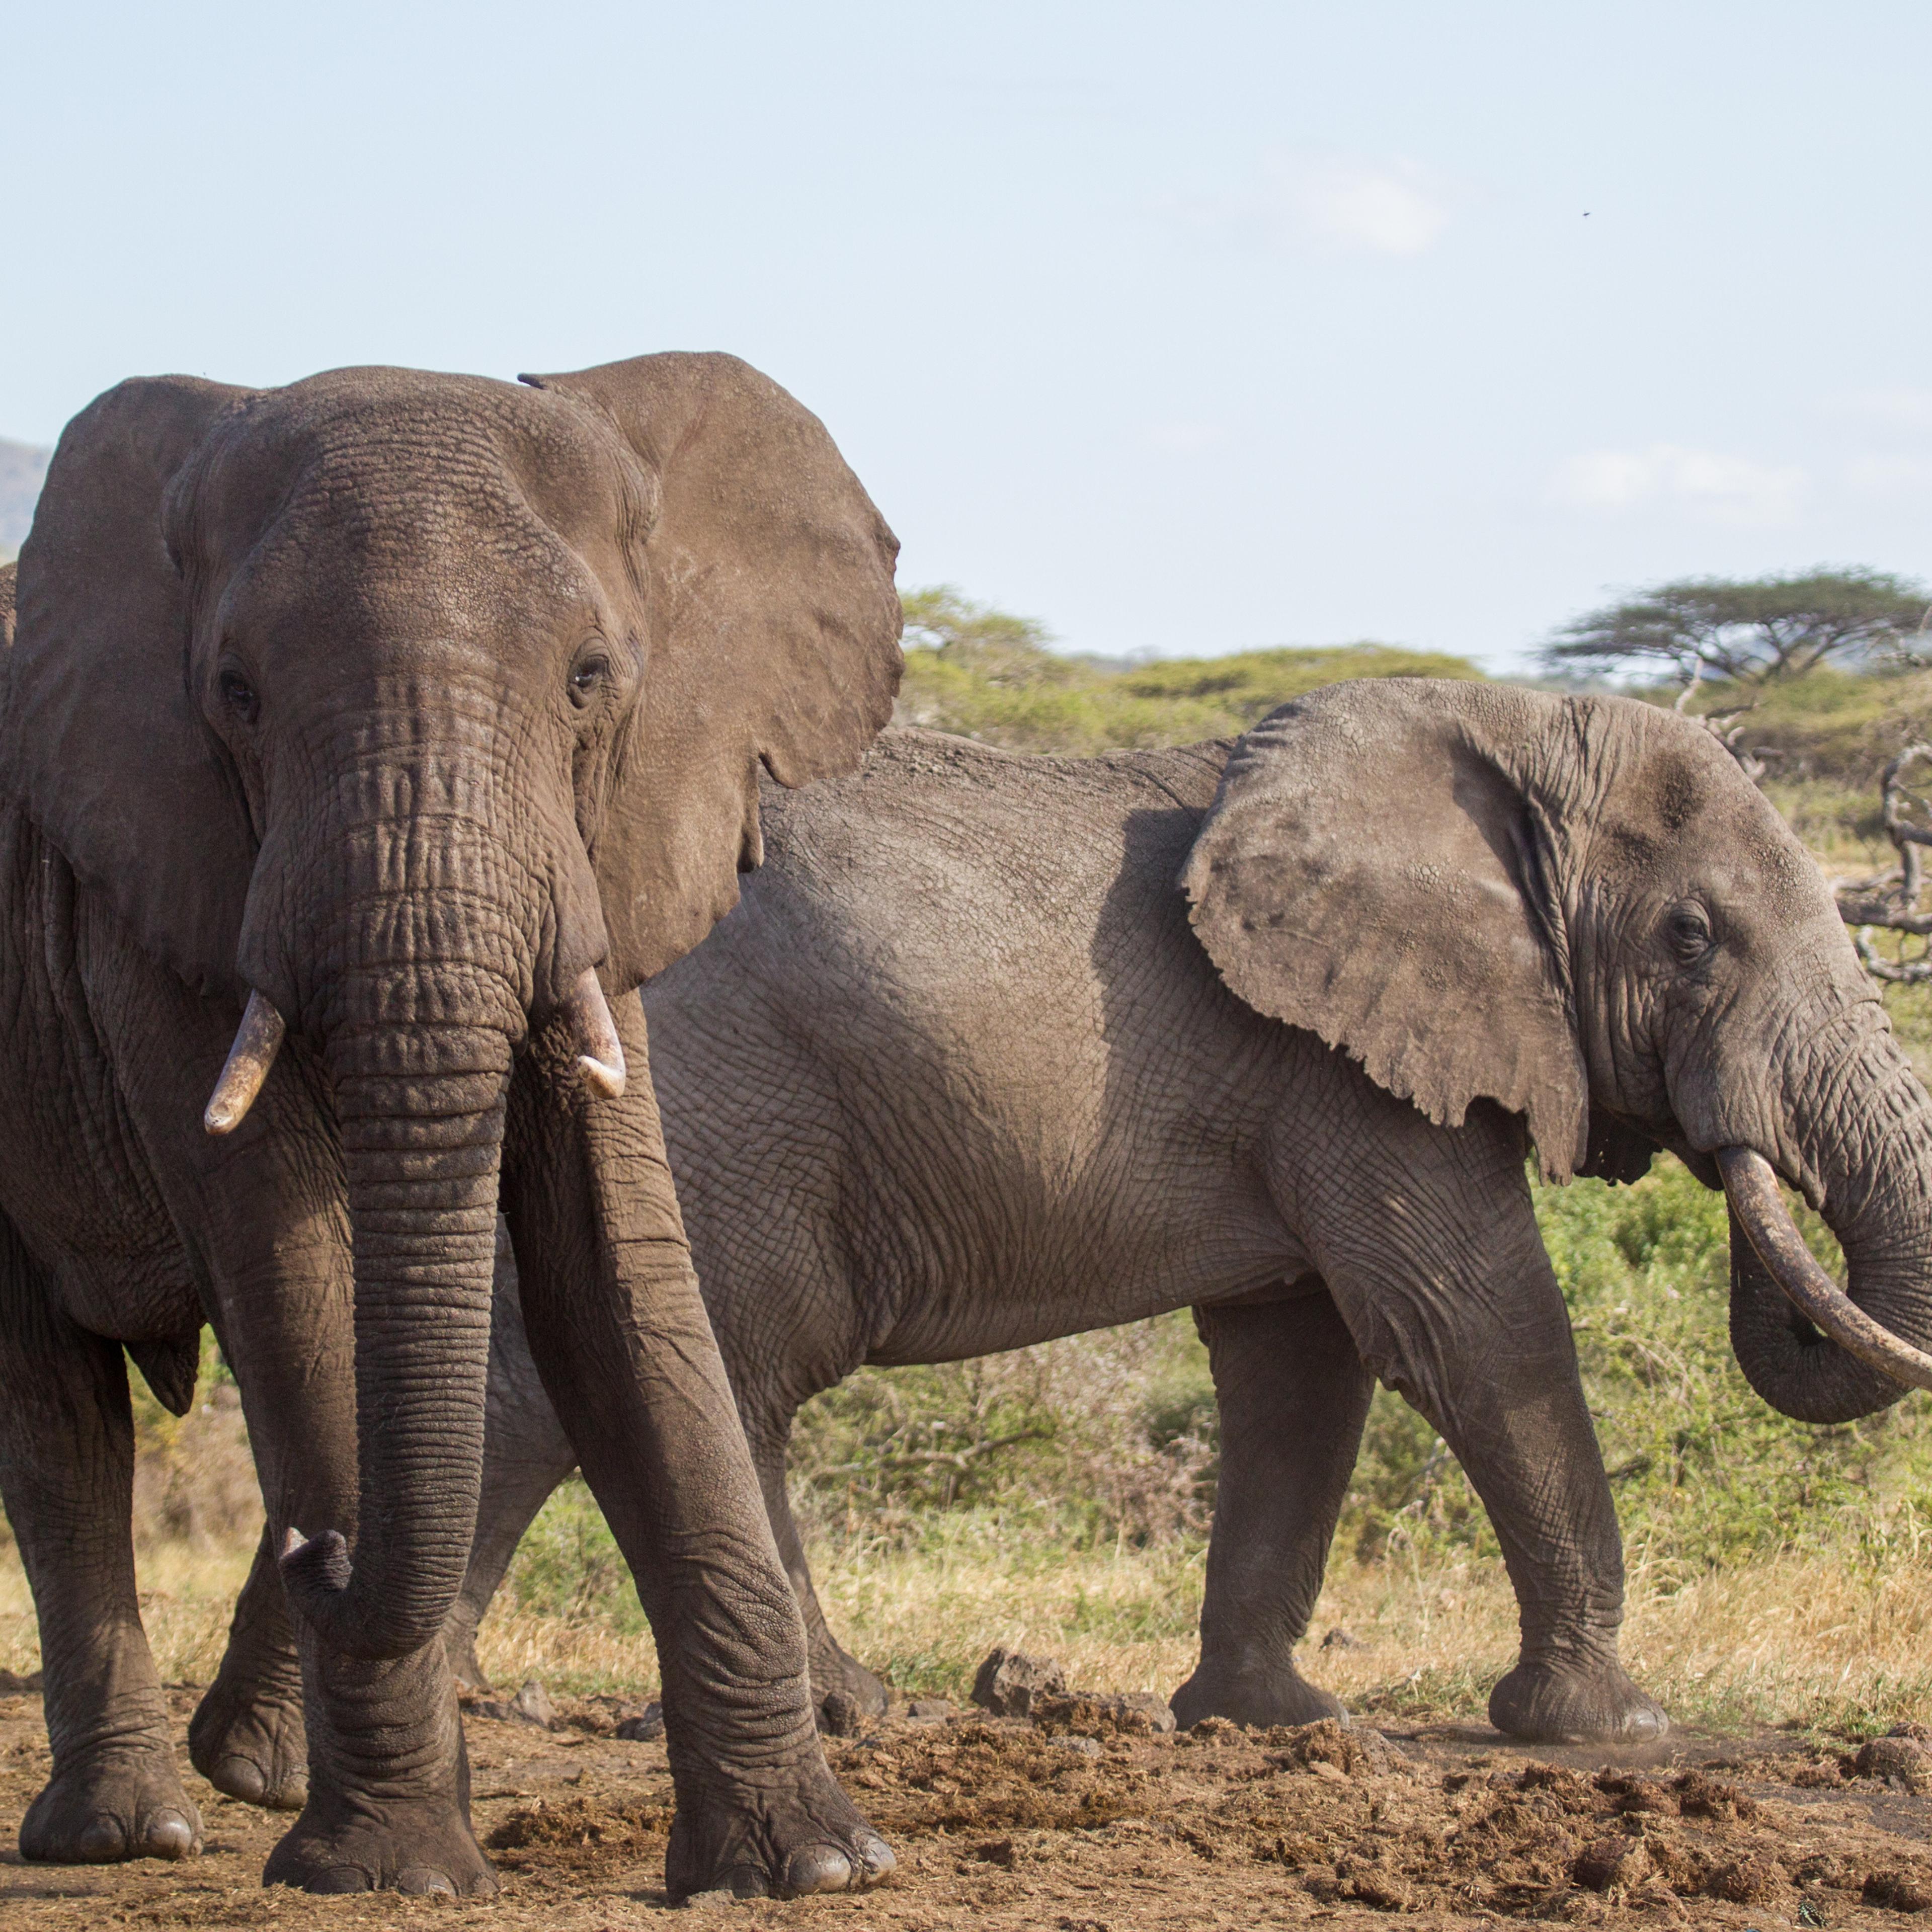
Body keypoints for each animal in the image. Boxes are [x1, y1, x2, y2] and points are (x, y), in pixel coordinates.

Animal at [0, 350, 906, 1900]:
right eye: (235, 693)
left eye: (592, 680)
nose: (316, 1545)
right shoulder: (157, 883)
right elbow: (294, 1281)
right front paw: (388, 1873)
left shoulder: (607, 859)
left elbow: (623, 1284)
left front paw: (813, 1867)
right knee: (58, 1425)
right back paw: (129, 1832)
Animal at [210, 680, 1932, 1758]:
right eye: (1693, 936)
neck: (1495, 721)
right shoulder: (1346, 1072)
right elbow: (1470, 1326)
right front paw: (1605, 1726)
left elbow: (1300, 1365)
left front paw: (1269, 1724)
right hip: (723, 1105)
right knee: (734, 1365)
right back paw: (837, 1714)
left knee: (571, 1375)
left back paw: (445, 1702)